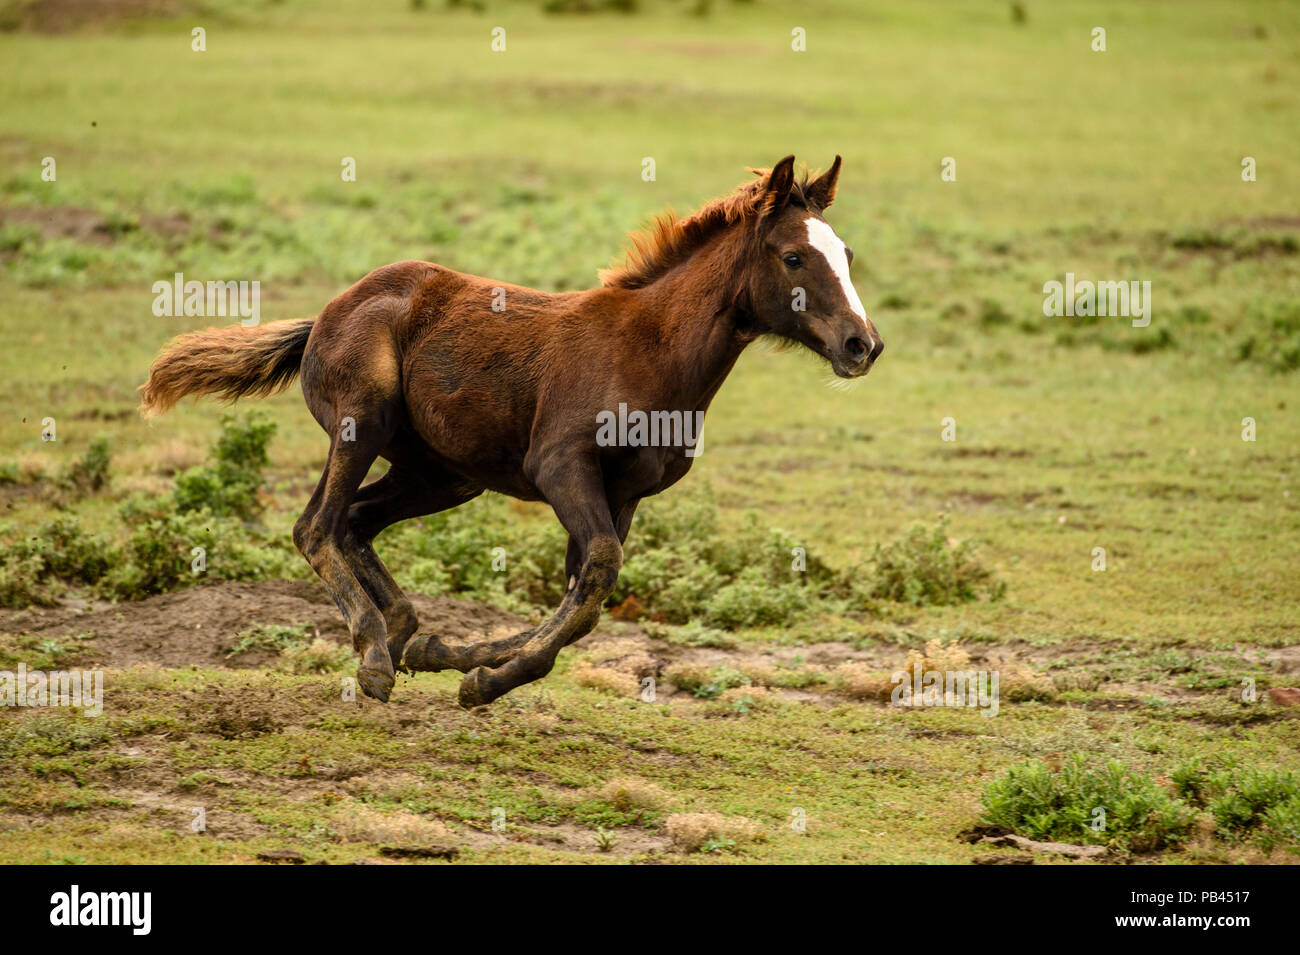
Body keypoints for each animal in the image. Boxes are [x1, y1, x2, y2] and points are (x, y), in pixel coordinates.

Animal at [139, 154, 883, 707]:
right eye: (793, 257)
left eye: (847, 253)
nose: (862, 345)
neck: (652, 353)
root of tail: (325, 313)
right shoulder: (559, 466)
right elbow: (598, 572)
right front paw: (482, 679)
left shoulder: (627, 492)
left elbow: (584, 592)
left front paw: (466, 660)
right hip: (362, 423)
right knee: (315, 525)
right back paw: (375, 657)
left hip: (445, 474)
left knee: (354, 520)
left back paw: (406, 636)